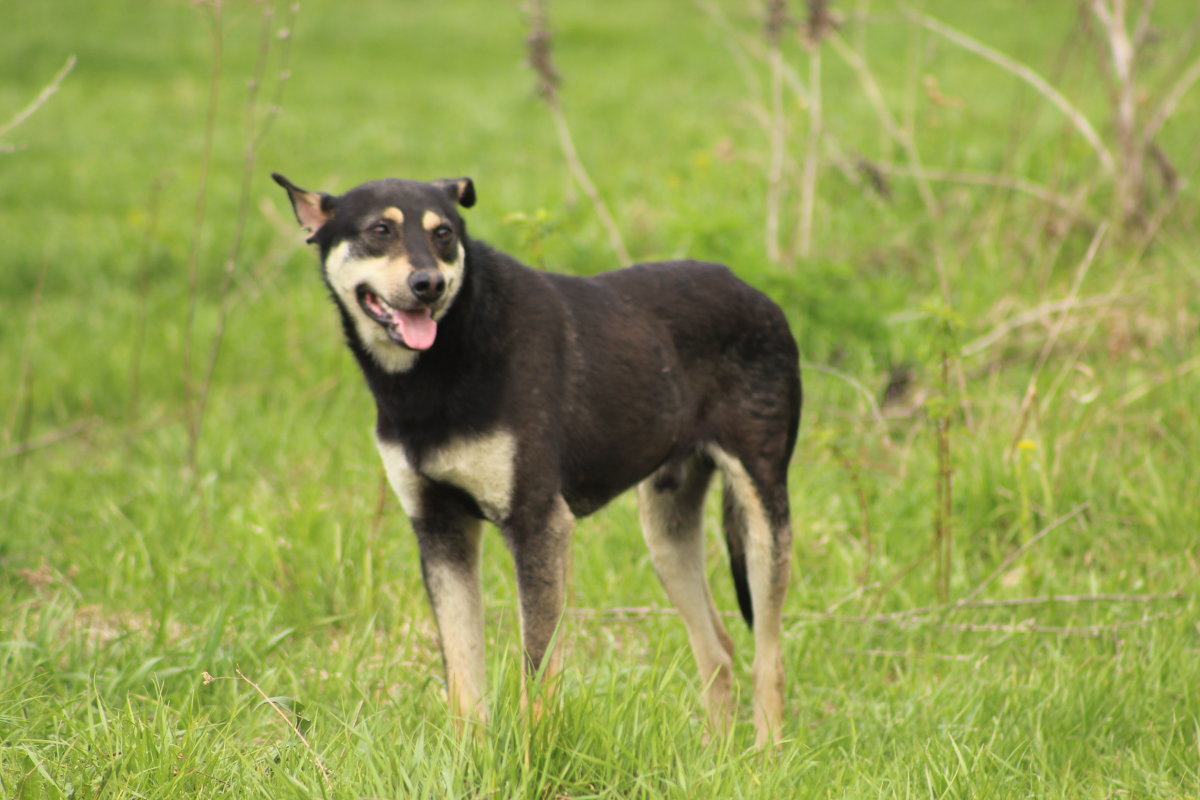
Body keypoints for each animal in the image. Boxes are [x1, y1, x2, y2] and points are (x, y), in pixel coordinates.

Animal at [271, 172, 796, 748]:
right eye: (379, 230)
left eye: (444, 234)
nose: (429, 285)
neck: (448, 354)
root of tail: (758, 294)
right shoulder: (440, 529)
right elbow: (464, 676)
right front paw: (469, 756)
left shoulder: (538, 524)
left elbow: (538, 673)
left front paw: (533, 755)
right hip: (667, 529)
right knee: (718, 650)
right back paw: (718, 757)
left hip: (762, 513)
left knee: (768, 659)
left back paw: (765, 756)